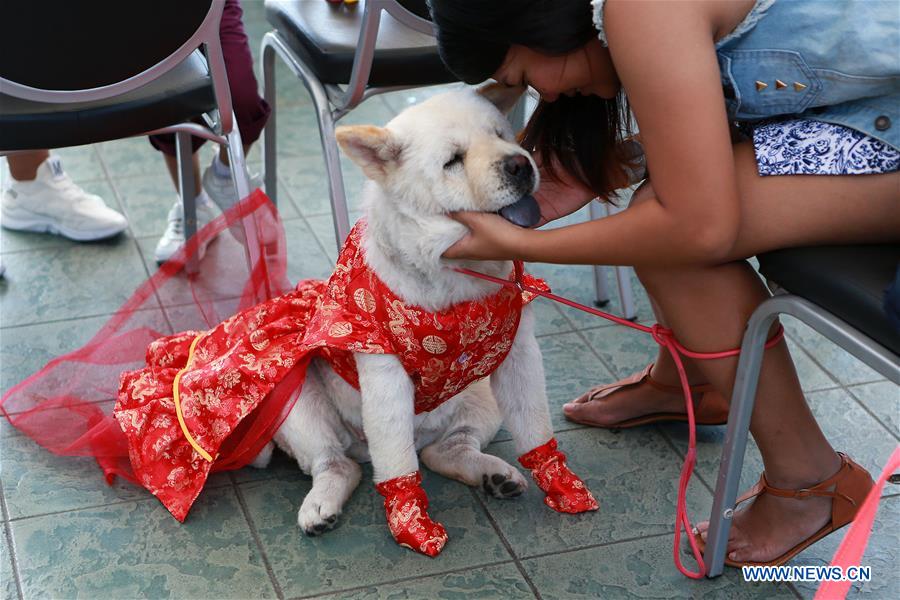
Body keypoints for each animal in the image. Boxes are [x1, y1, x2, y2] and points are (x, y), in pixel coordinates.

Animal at [253, 84, 596, 552]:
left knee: (444, 450)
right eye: (453, 160)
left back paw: (495, 475)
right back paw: (321, 508)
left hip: (480, 395)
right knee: (339, 463)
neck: (454, 284)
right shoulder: (385, 375)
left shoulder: (519, 356)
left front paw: (561, 483)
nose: (520, 164)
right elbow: (396, 461)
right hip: (295, 398)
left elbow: (536, 427)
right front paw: (411, 523)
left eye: (501, 134)